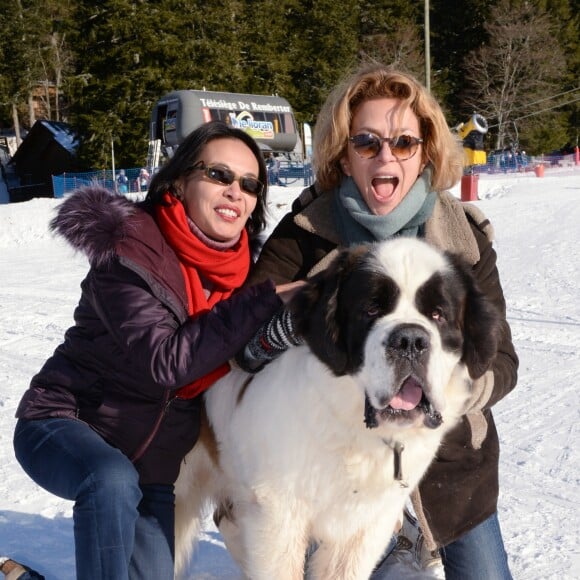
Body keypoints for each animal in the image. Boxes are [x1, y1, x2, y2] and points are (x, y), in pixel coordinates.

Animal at [174, 237, 500, 580]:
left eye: (438, 315)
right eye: (371, 309)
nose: (410, 340)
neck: (353, 431)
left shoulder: (366, 526)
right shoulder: (277, 519)